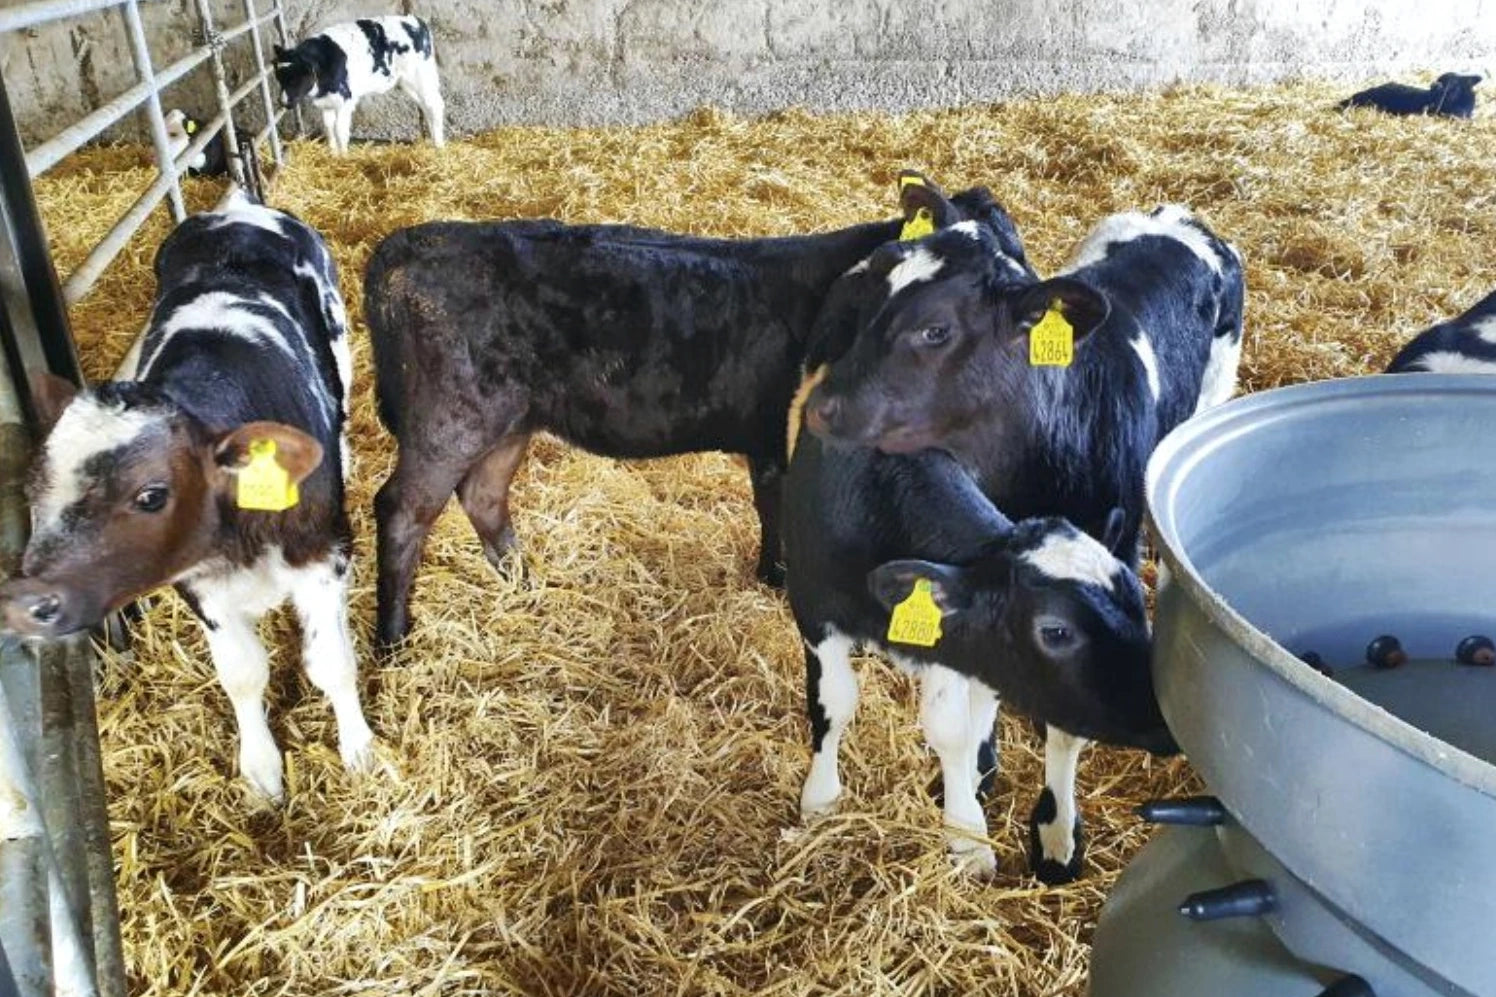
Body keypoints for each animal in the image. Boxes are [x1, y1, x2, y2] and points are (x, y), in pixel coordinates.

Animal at [0, 193, 372, 803]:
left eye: (152, 495)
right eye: (33, 489)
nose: (25, 604)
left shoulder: (322, 555)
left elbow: (332, 662)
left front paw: (360, 748)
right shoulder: (199, 585)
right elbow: (242, 674)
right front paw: (261, 768)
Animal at [273, 15, 443, 155]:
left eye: (296, 79)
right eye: (278, 78)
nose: (282, 102)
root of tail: (416, 21)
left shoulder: (344, 100)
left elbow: (340, 131)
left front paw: (344, 158)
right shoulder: (327, 103)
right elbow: (328, 128)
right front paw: (333, 155)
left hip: (419, 76)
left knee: (435, 105)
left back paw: (439, 146)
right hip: (408, 83)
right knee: (426, 106)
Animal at [363, 173, 1025, 651]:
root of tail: (406, 243)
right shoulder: (783, 438)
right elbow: (782, 511)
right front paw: (781, 582)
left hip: (508, 419)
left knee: (483, 496)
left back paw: (526, 584)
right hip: (449, 418)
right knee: (402, 510)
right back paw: (394, 641)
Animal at [799, 201, 1244, 881]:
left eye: (935, 330)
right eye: (868, 298)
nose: (820, 404)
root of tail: (1177, 214)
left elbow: (1053, 727)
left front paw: (1050, 835)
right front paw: (969, 784)